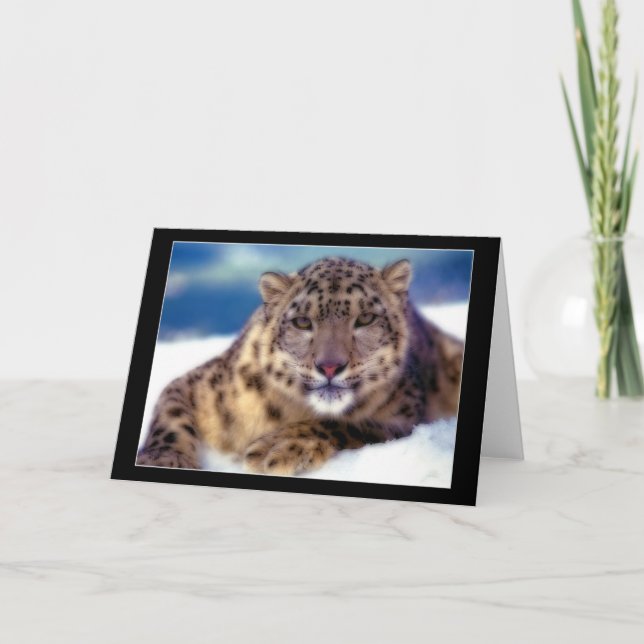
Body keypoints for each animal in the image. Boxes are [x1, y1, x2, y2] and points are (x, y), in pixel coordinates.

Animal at [136, 256, 465, 476]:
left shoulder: (404, 417)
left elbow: (347, 423)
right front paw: (164, 460)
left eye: (366, 318)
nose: (330, 366)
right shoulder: (198, 386)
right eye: (302, 322)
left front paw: (275, 448)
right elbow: (170, 417)